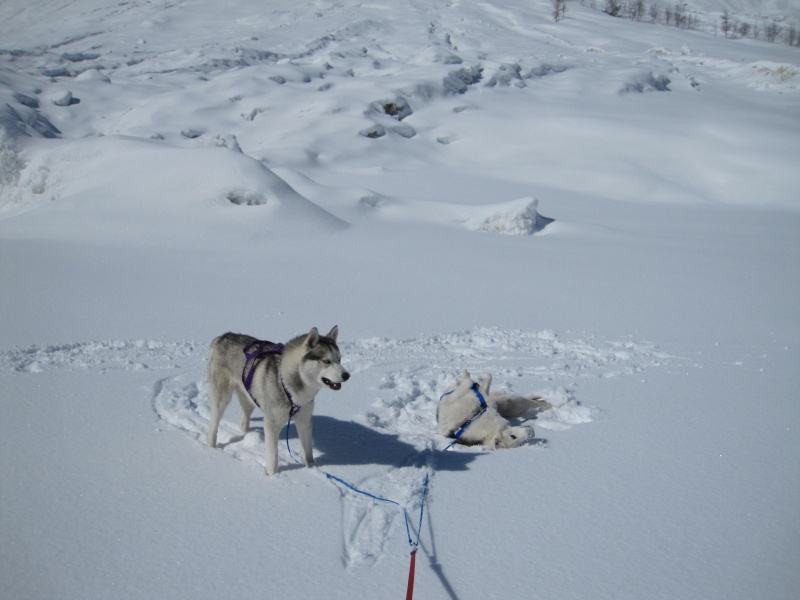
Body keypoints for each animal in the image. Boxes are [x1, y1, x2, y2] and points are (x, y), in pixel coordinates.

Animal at [206, 326, 346, 476]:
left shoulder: (304, 420)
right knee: (214, 423)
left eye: (339, 359)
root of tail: (223, 336)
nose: (347, 375)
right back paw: (211, 447)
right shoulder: (272, 424)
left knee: (243, 419)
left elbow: (308, 451)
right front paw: (273, 476)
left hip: (249, 397)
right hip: (222, 398)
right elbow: (273, 457)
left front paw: (312, 466)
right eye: (326, 361)